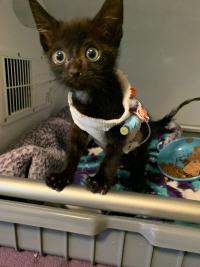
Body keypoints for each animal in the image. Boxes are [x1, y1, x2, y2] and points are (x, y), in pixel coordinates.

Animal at [28, 0, 199, 194]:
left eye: (92, 53)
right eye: (59, 56)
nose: (74, 71)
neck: (91, 97)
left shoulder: (121, 129)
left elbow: (112, 156)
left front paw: (100, 180)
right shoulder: (78, 126)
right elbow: (73, 150)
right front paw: (62, 175)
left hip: (141, 139)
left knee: (139, 161)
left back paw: (138, 183)